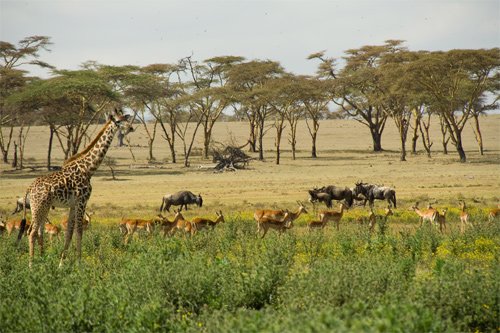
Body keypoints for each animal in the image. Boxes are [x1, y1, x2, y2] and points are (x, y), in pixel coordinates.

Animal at [19, 110, 133, 266]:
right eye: (118, 121)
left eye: (125, 119)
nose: (130, 128)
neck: (88, 169)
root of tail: (29, 188)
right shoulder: (82, 201)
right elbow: (79, 230)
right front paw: (79, 263)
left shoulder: (73, 205)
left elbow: (69, 232)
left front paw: (61, 263)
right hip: (38, 206)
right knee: (32, 232)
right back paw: (31, 265)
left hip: (42, 207)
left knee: (38, 232)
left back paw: (41, 261)